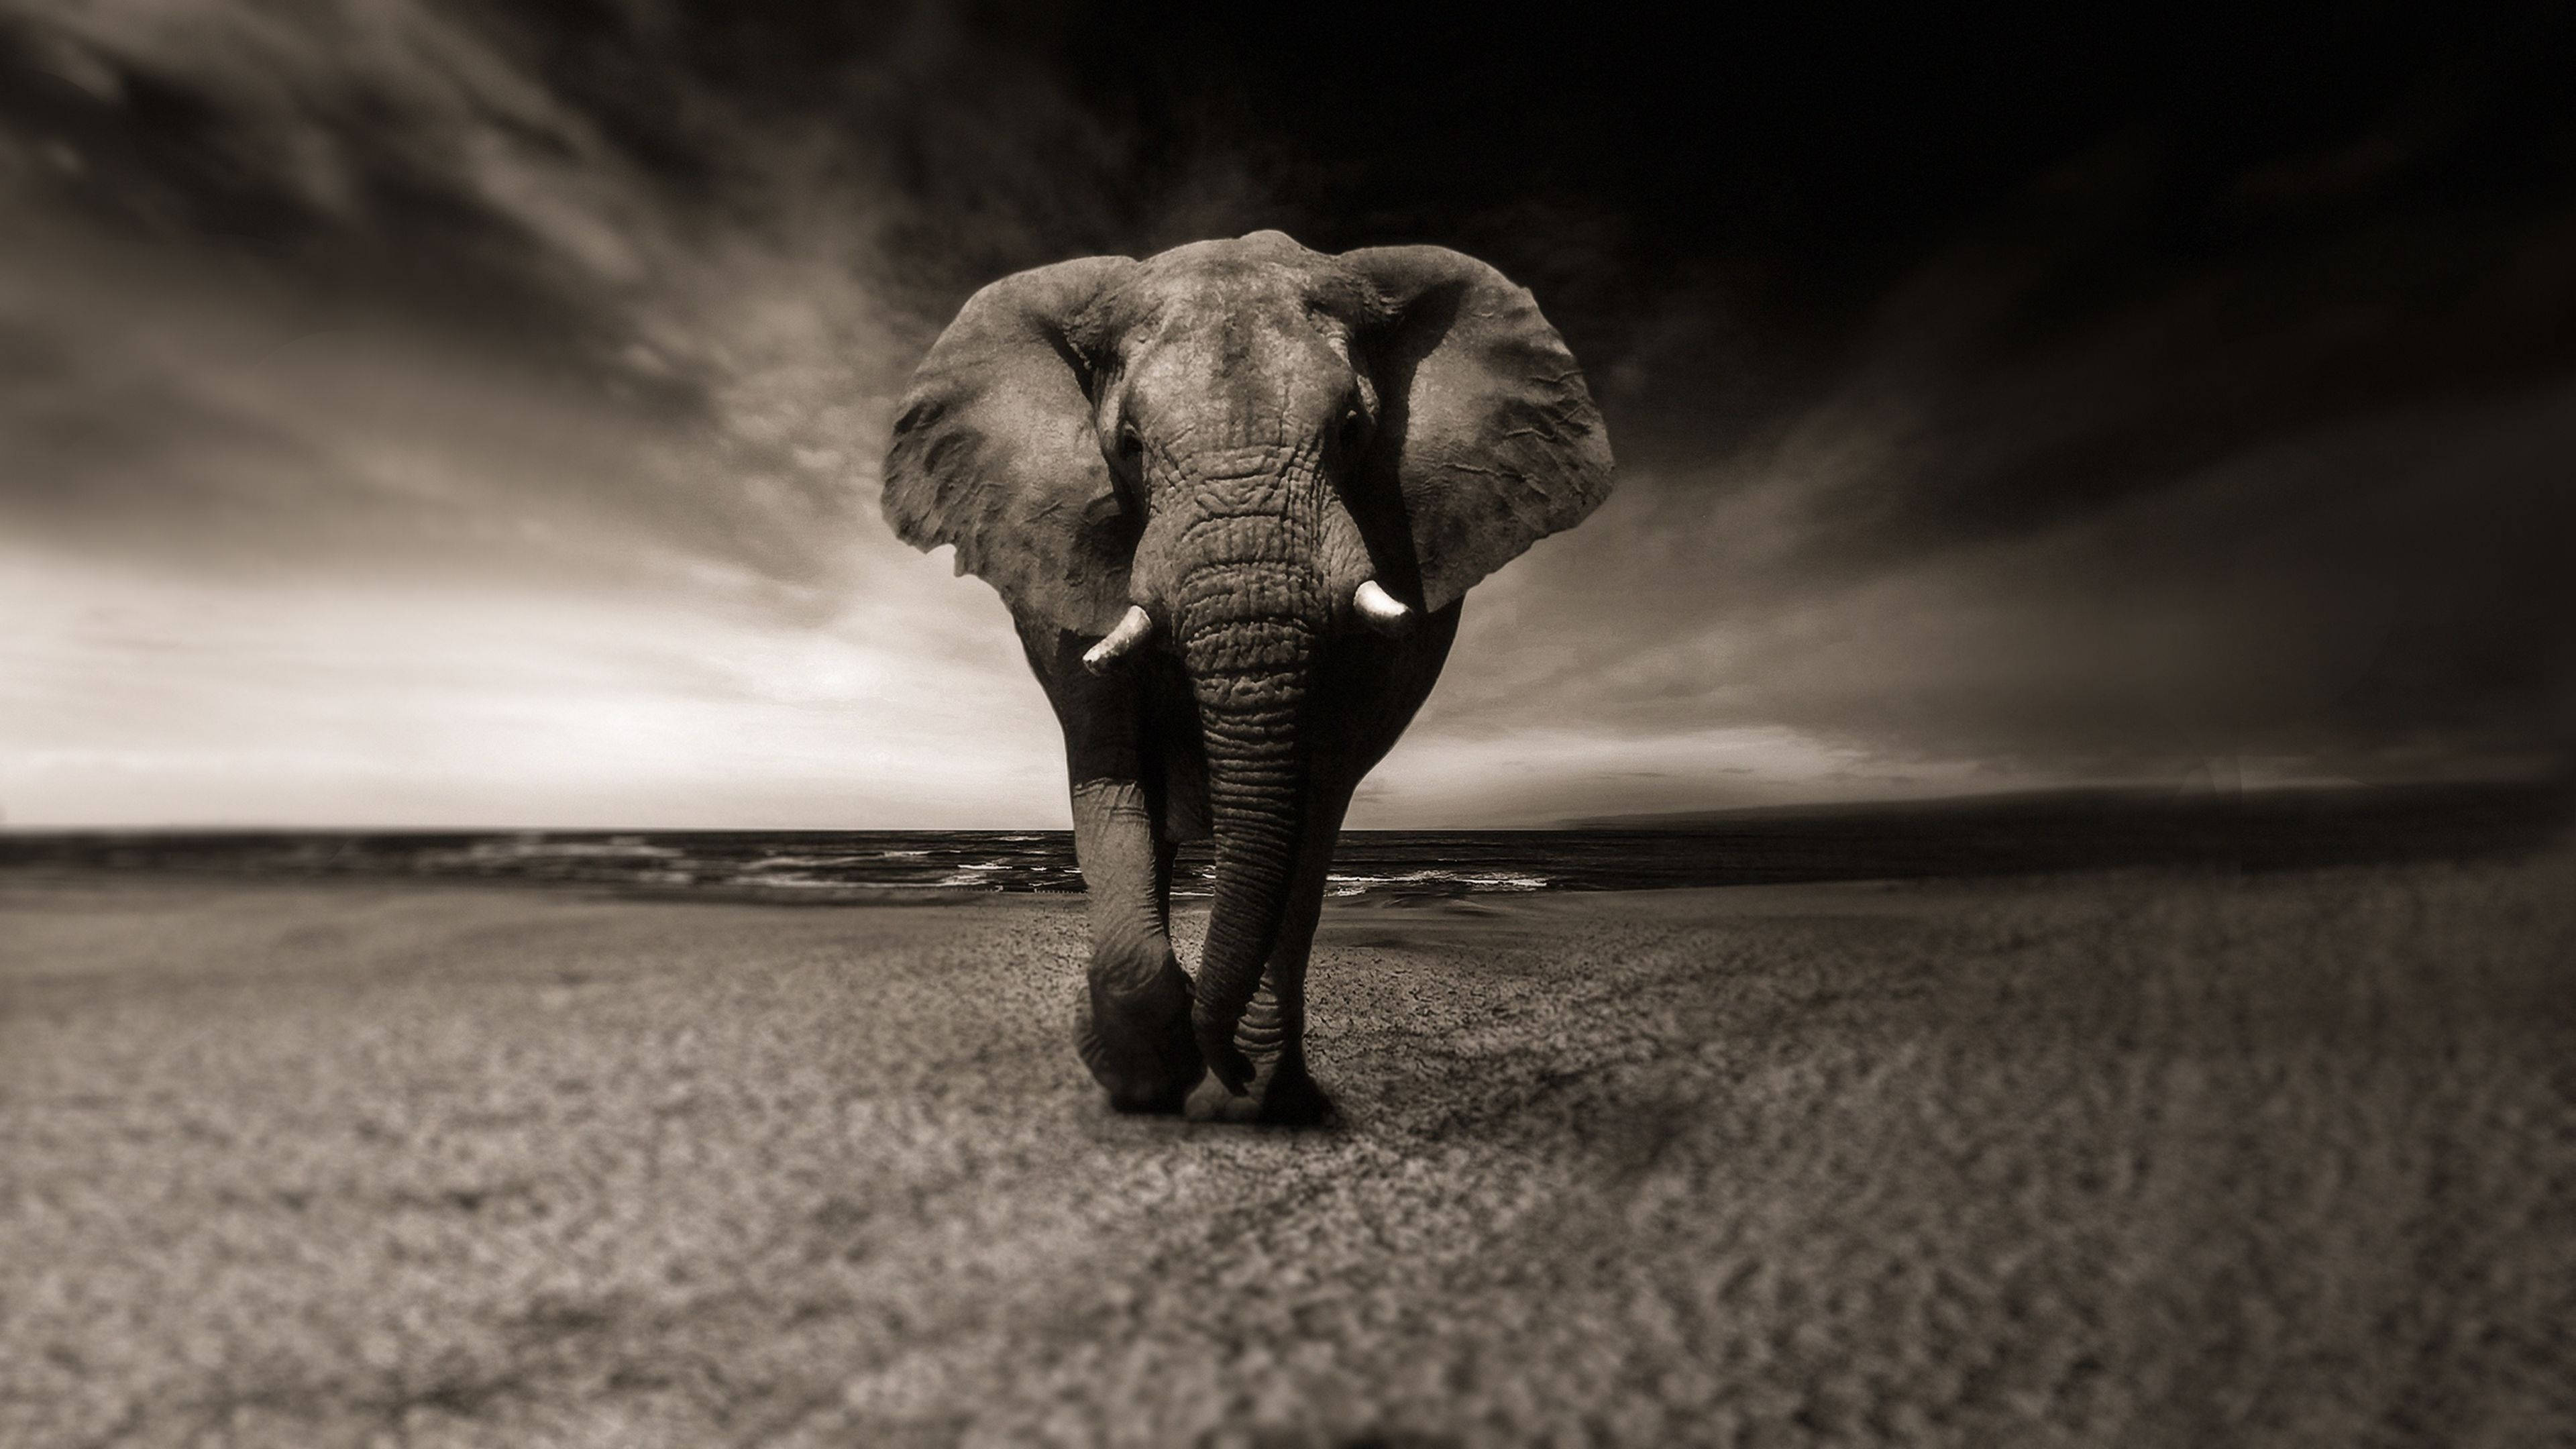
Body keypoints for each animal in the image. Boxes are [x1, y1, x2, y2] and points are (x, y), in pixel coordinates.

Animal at [881, 229, 1613, 1123]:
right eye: (1128, 445)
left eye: (1353, 430)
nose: (1221, 1061)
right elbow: (1111, 768)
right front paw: (1146, 1077)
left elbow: (1315, 792)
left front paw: (1247, 1090)